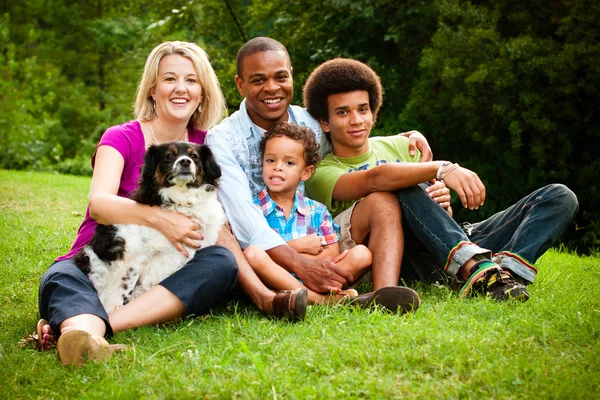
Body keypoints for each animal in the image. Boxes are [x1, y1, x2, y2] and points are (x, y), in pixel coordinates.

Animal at [75, 142, 225, 314]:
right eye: (169, 155)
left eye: (194, 156)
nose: (185, 162)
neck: (182, 199)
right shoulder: (133, 256)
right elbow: (122, 290)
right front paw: (114, 311)